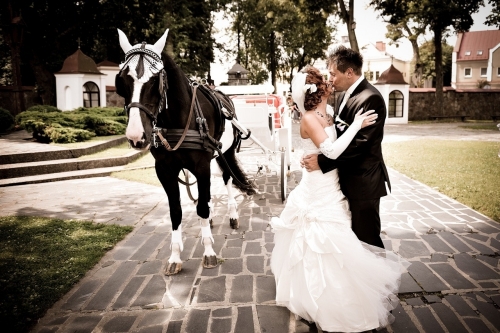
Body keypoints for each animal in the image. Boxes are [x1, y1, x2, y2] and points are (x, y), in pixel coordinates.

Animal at [115, 28, 256, 274]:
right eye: (122, 80)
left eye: (155, 80)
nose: (136, 136)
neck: (177, 119)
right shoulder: (164, 169)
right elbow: (177, 210)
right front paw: (175, 256)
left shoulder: (201, 165)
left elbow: (201, 207)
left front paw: (209, 252)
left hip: (227, 152)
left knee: (227, 178)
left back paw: (232, 214)